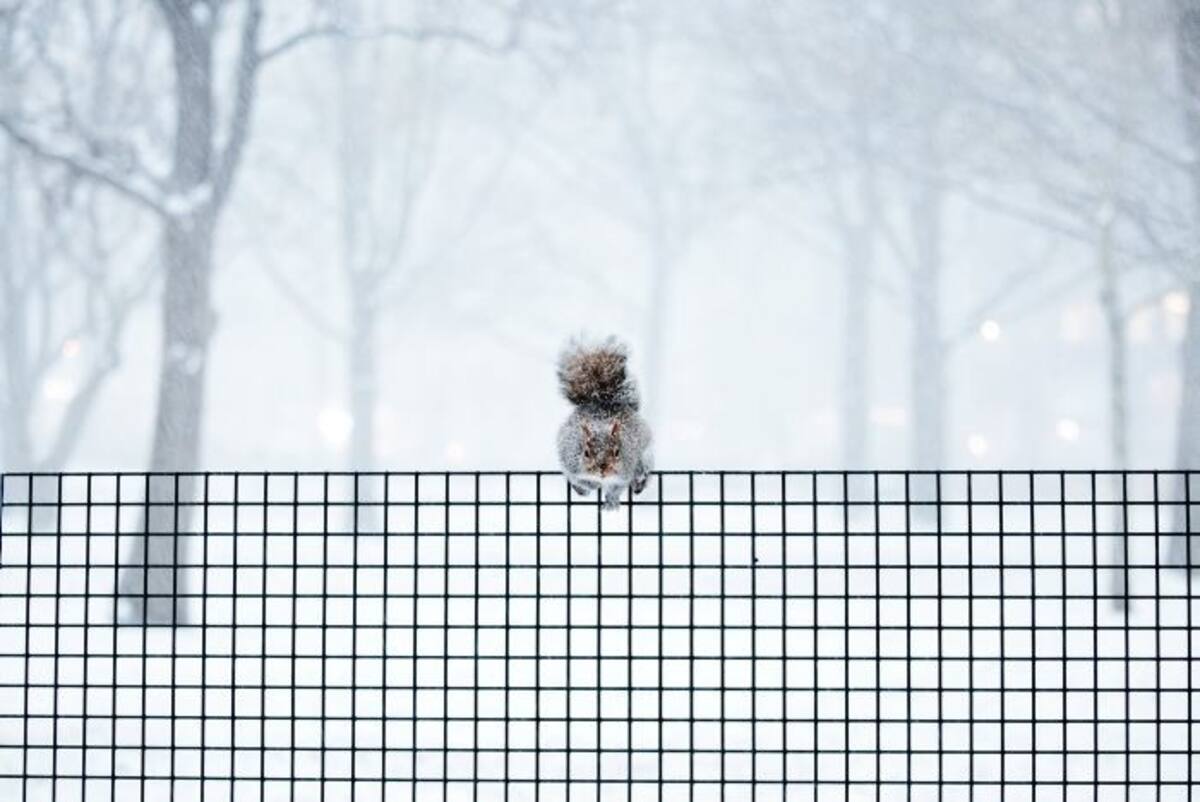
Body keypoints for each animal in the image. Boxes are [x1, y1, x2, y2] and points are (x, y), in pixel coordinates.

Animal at [556, 336, 654, 510]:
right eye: (586, 453)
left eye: (617, 452)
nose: (603, 470)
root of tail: (601, 400)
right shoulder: (570, 460)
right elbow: (581, 479)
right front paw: (593, 484)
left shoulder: (626, 468)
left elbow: (617, 487)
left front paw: (611, 502)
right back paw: (581, 490)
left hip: (644, 453)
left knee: (644, 467)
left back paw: (639, 481)